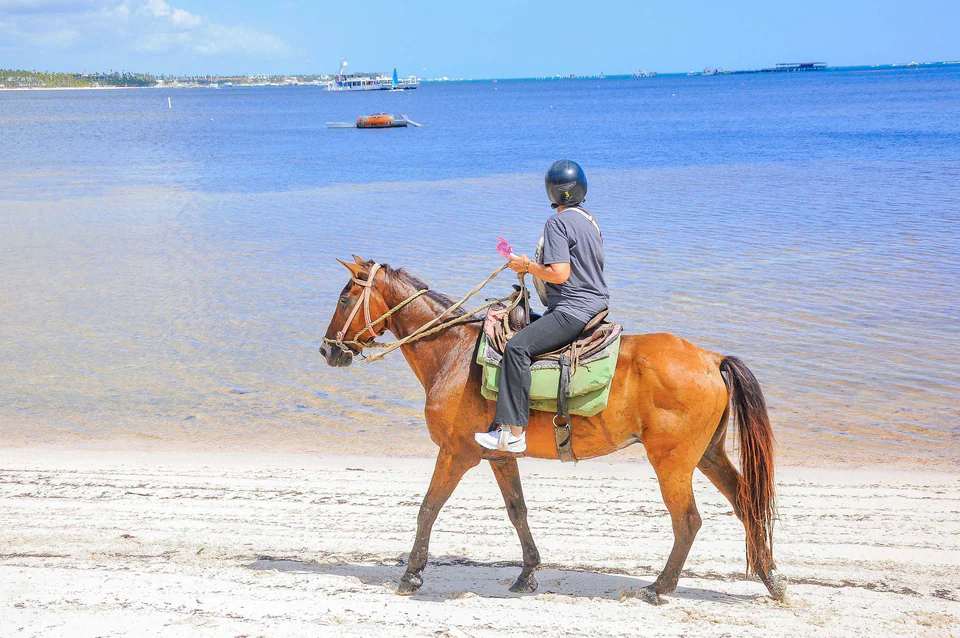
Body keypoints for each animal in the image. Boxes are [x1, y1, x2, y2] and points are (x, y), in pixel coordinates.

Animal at [318, 256, 786, 605]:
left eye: (344, 296)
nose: (327, 350)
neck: (452, 353)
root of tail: (712, 358)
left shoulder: (455, 454)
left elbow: (427, 509)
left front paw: (411, 575)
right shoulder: (499, 455)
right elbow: (517, 511)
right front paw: (527, 573)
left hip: (672, 461)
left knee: (688, 520)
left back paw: (659, 587)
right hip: (708, 455)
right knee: (746, 504)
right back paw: (771, 578)